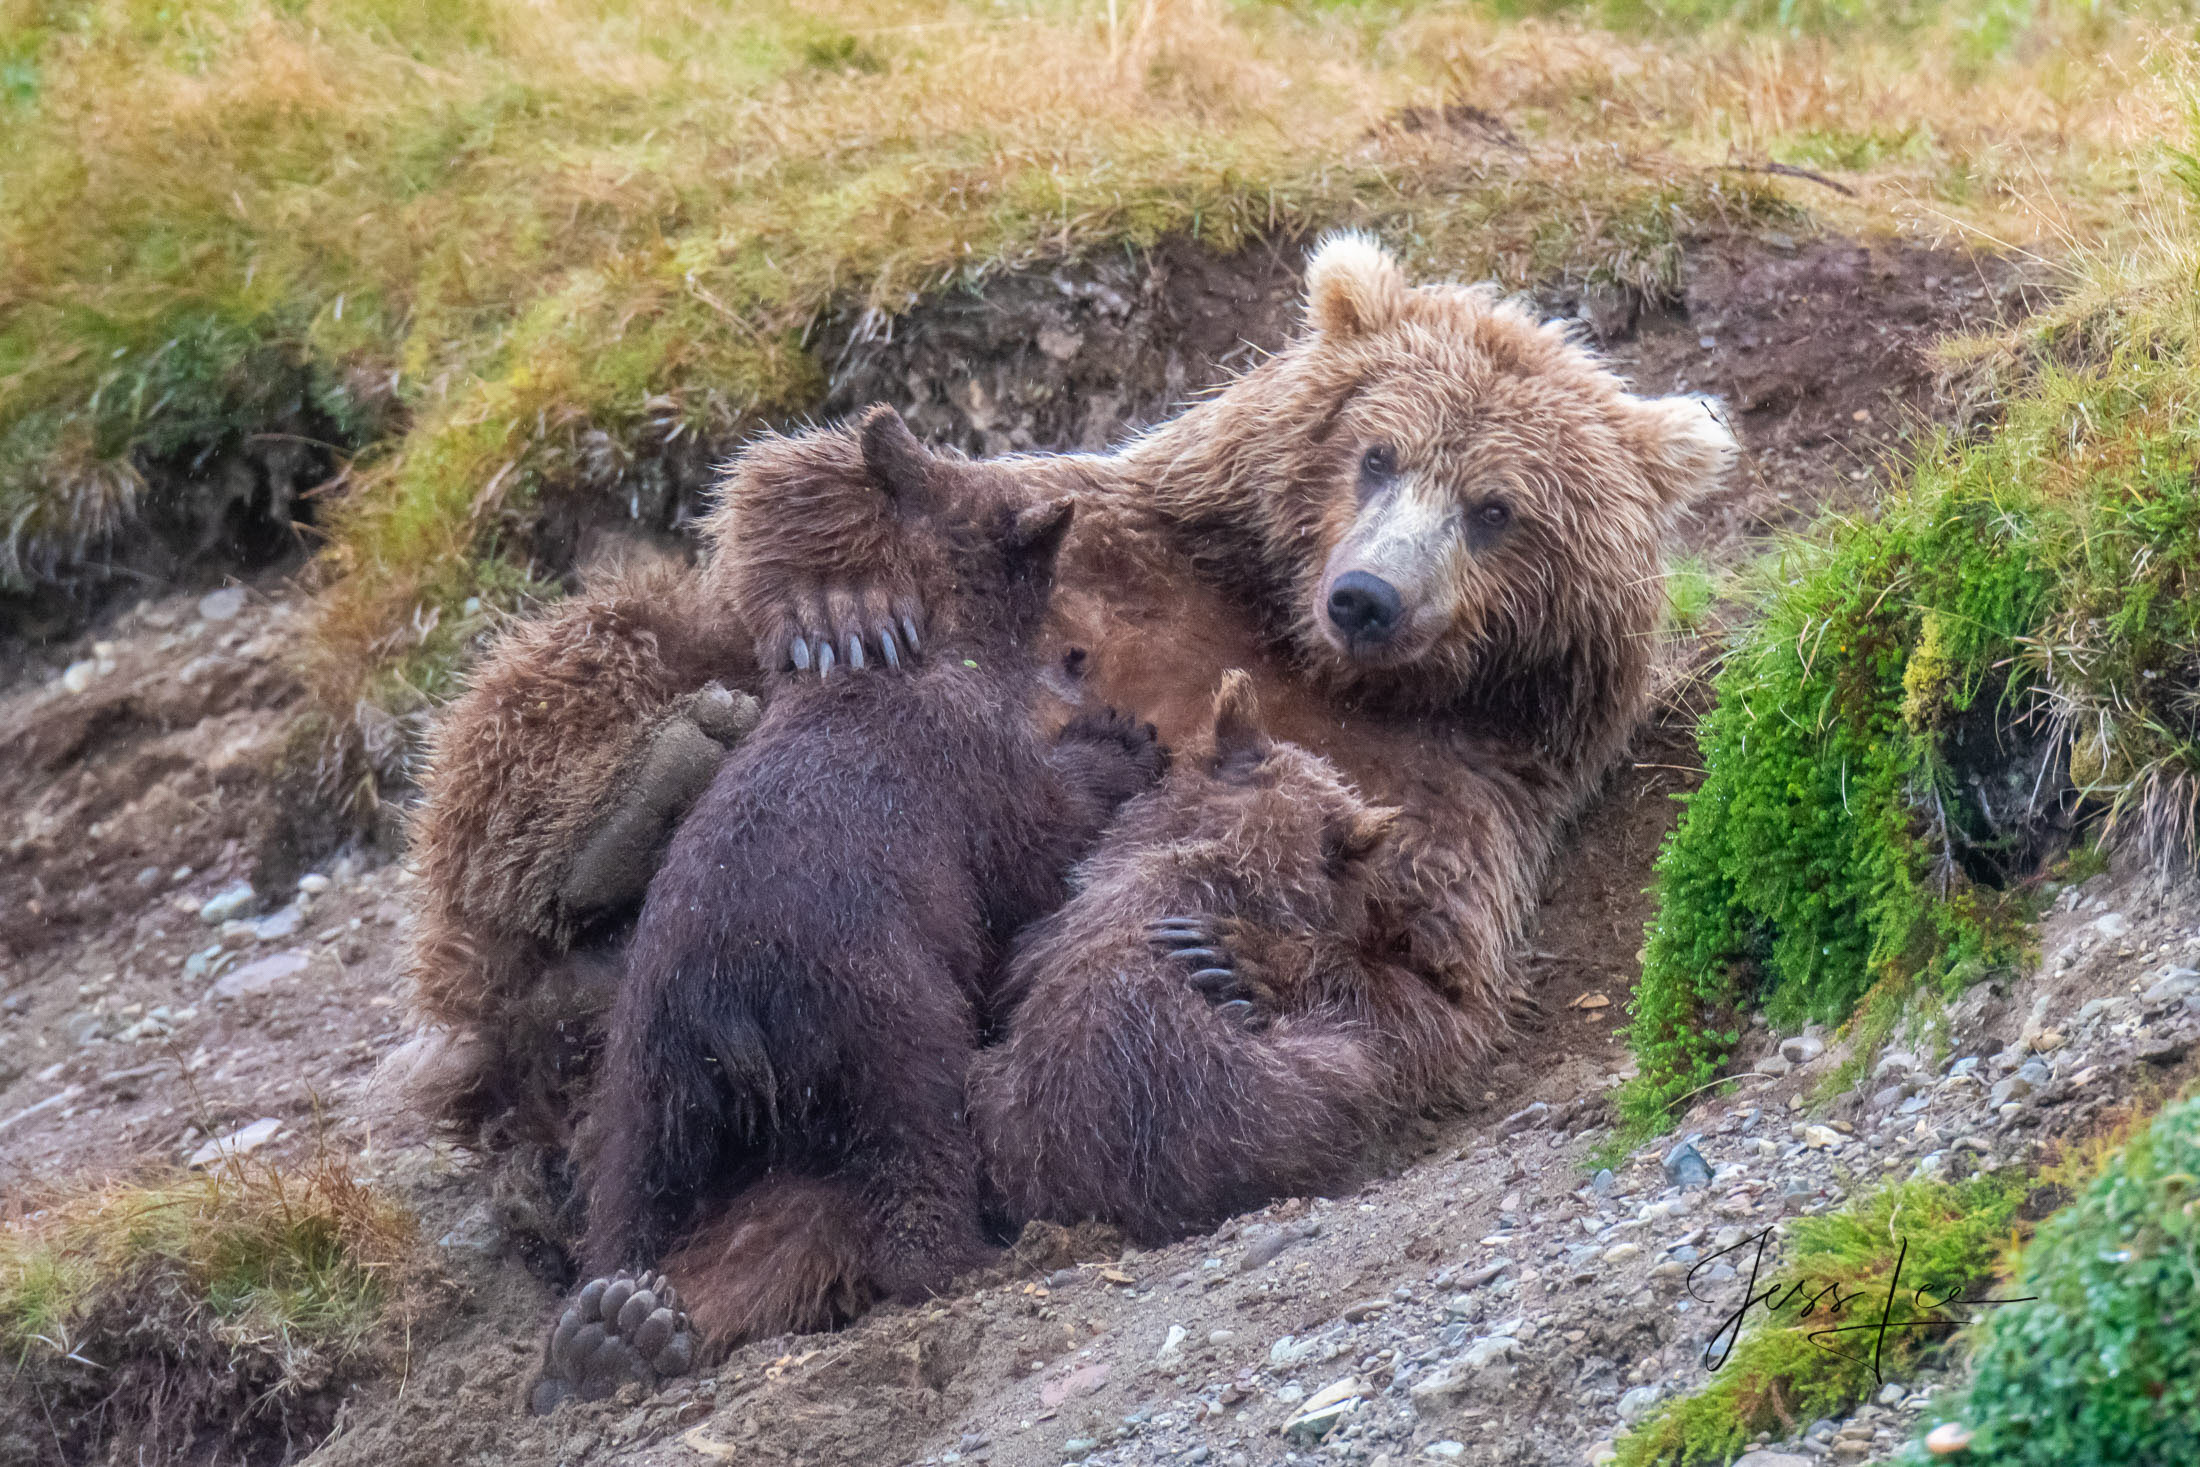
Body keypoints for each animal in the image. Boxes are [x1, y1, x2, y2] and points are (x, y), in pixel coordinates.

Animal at [404, 226, 1724, 1266]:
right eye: (1378, 453)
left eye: (1496, 509)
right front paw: (843, 604)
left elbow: (1429, 987)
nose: (1367, 595)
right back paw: (632, 809)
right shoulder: (1131, 544)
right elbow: (829, 481)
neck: (1310, 659)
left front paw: (1245, 958)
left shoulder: (1460, 799)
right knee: (587, 661)